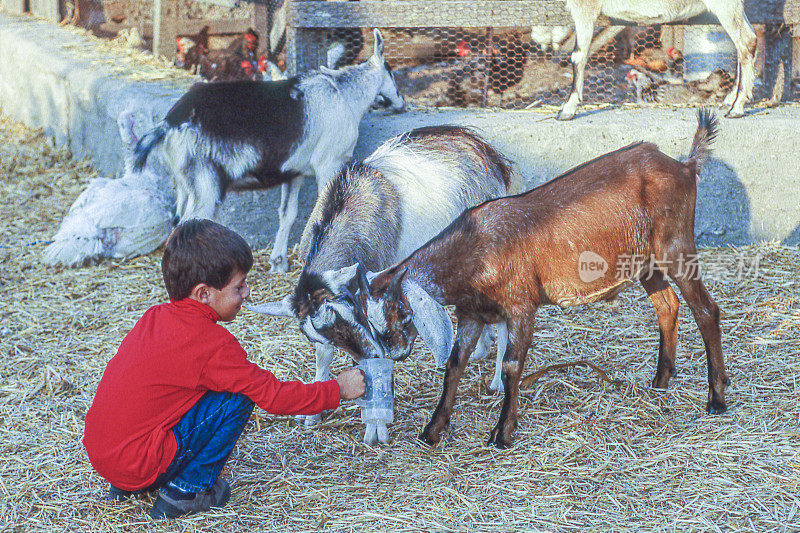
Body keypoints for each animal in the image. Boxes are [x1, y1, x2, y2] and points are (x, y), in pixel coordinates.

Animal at [134, 29, 406, 272]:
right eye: (391, 73)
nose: (402, 104)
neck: (344, 94)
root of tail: (169, 123)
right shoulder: (329, 162)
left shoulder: (294, 173)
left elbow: (288, 213)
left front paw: (279, 262)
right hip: (205, 180)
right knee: (191, 222)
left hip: (184, 182)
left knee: (178, 221)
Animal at [247, 125, 516, 444]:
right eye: (323, 335)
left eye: (356, 314)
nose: (370, 354)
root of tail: (491, 154)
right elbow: (324, 356)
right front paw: (313, 414)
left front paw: (376, 428)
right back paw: (480, 347)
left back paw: (497, 380)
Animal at [360, 109, 724, 448]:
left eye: (403, 312)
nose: (394, 353)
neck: (475, 247)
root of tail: (686, 166)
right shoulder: (471, 313)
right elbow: (454, 364)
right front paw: (433, 430)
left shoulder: (522, 306)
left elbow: (510, 366)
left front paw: (502, 432)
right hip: (646, 262)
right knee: (667, 306)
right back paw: (660, 381)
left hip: (676, 245)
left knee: (706, 310)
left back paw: (716, 398)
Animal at [556, 0, 756, 120]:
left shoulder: (585, 6)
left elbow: (578, 55)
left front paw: (567, 110)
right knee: (750, 40)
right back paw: (731, 99)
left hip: (726, 5)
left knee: (745, 43)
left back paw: (736, 108)